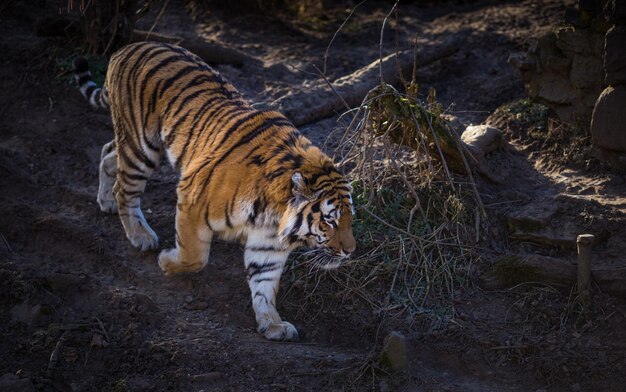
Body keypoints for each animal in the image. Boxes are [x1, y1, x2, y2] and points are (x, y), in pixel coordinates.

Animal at [72, 40, 354, 340]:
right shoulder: (190, 198)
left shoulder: (268, 243)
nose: (351, 251)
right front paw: (167, 261)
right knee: (125, 187)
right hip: (141, 145)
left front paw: (272, 323)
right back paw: (140, 235)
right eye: (330, 220)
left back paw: (106, 202)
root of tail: (128, 47)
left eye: (350, 219)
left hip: (133, 143)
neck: (274, 214)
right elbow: (194, 256)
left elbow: (264, 283)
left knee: (107, 152)